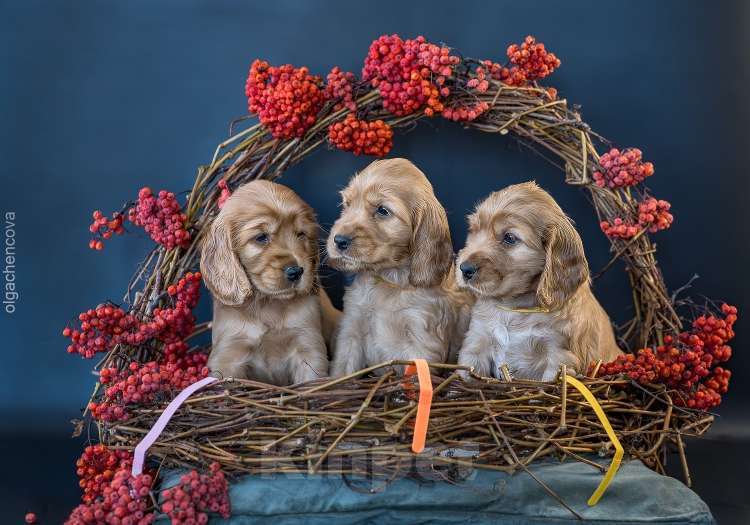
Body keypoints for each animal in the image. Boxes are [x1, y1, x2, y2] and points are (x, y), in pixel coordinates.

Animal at [201, 180, 340, 384]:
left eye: (301, 234)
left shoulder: (308, 347)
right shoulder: (229, 354)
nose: (296, 271)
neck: (268, 304)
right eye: (261, 237)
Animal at [328, 158, 470, 374]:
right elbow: (342, 371)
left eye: (382, 210)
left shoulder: (422, 340)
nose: (339, 240)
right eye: (347, 204)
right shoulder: (352, 329)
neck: (389, 279)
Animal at [458, 183, 624, 380]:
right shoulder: (476, 341)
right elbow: (466, 373)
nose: (464, 268)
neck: (513, 308)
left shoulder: (559, 357)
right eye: (473, 230)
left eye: (509, 238)